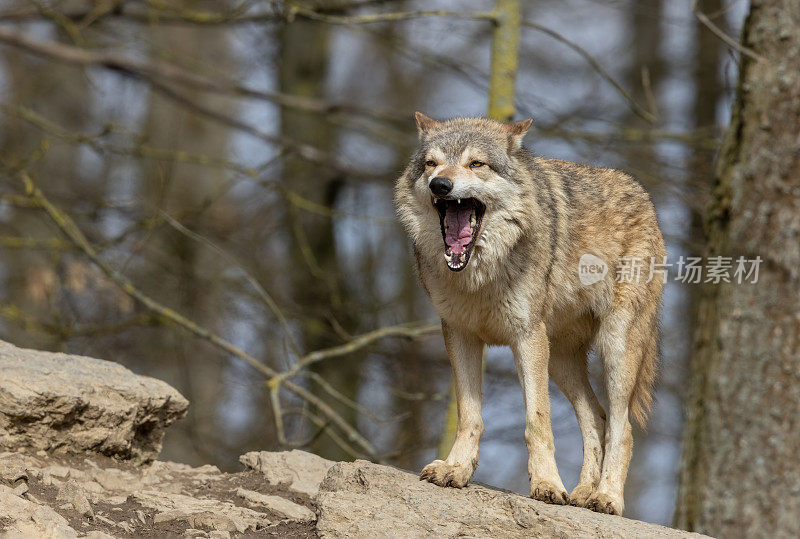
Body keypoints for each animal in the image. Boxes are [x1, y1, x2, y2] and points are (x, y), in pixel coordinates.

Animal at [392, 113, 664, 516]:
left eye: (477, 164)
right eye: (431, 163)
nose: (440, 184)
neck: (480, 275)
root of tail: (642, 193)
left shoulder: (527, 338)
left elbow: (537, 421)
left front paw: (547, 485)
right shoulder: (459, 335)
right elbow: (469, 416)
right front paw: (456, 468)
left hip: (614, 349)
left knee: (622, 427)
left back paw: (606, 498)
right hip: (561, 361)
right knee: (596, 418)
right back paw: (583, 493)